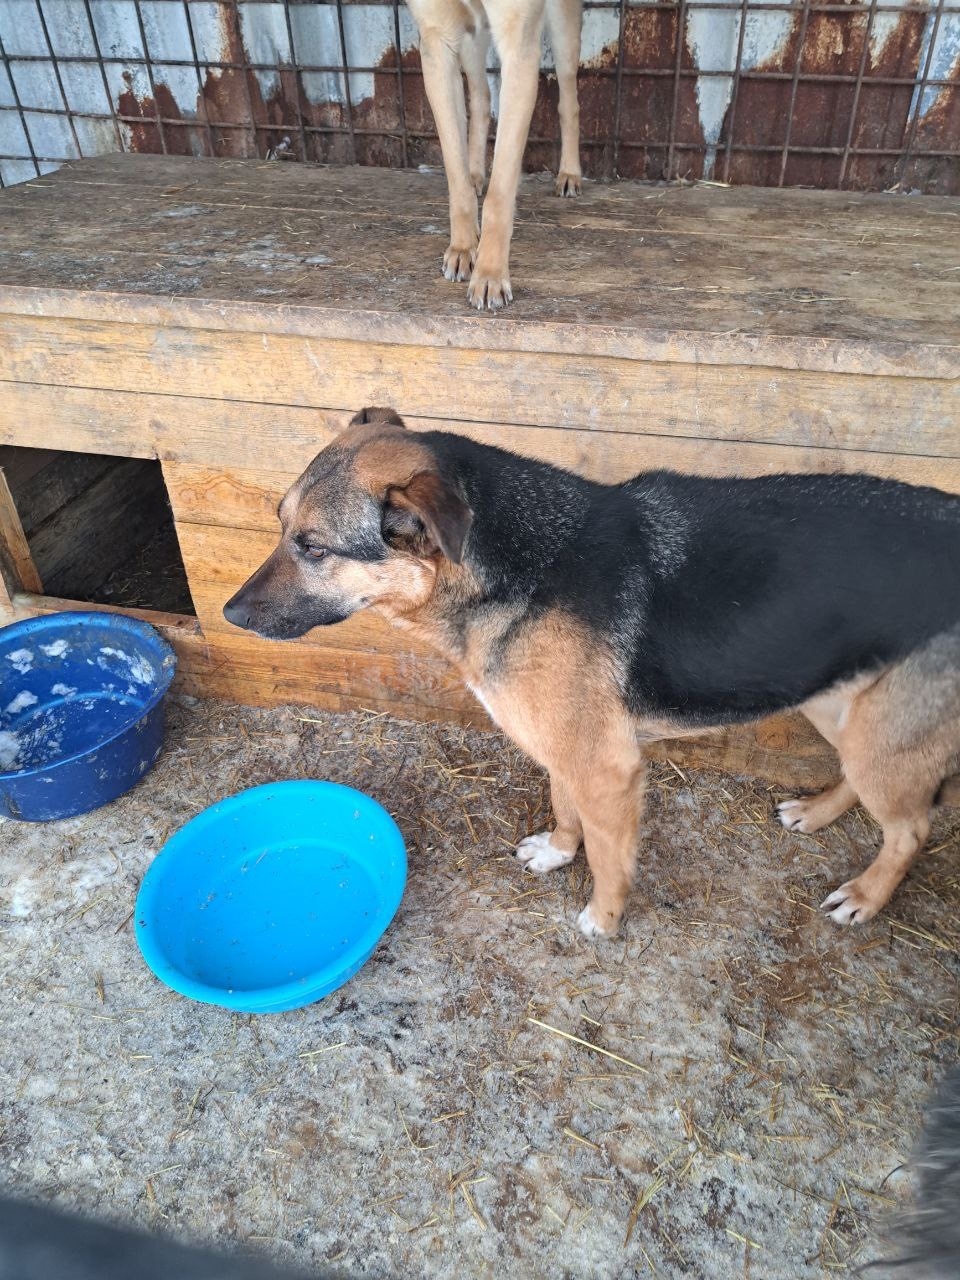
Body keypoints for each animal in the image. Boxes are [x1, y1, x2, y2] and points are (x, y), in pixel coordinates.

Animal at [223, 409, 960, 939]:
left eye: (312, 546)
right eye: (279, 526)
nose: (227, 613)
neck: (525, 567)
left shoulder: (607, 767)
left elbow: (609, 856)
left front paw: (602, 920)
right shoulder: (563, 748)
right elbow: (563, 807)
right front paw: (557, 852)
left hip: (881, 734)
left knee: (911, 829)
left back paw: (866, 896)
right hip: (842, 706)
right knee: (866, 786)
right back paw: (816, 811)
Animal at [406, 0, 582, 309]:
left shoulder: (519, 46)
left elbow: (499, 194)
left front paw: (490, 273)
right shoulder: (436, 40)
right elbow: (456, 176)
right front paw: (463, 246)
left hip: (562, 27)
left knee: (569, 100)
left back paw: (570, 173)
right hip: (470, 37)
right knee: (481, 96)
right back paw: (475, 173)